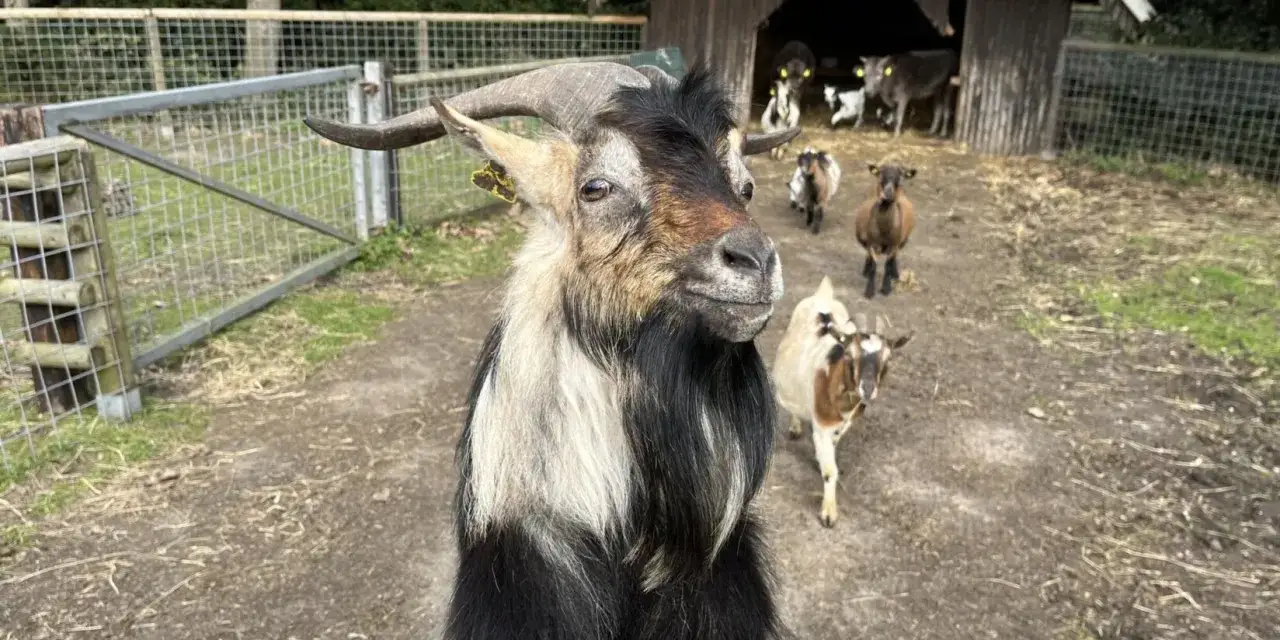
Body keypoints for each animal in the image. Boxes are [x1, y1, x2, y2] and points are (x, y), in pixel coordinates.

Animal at [772, 277, 913, 527]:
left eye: (888, 359)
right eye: (849, 355)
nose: (867, 389)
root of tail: (823, 295)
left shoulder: (843, 424)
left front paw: (820, 459)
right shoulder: (822, 425)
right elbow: (831, 471)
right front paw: (829, 513)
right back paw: (795, 426)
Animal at [854, 163, 916, 299]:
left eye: (900, 178)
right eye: (880, 175)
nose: (887, 193)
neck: (884, 230)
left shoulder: (894, 244)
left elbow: (888, 264)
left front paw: (886, 288)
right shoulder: (872, 243)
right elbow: (873, 265)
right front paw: (869, 291)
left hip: (902, 240)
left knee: (895, 257)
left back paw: (895, 274)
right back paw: (866, 271)